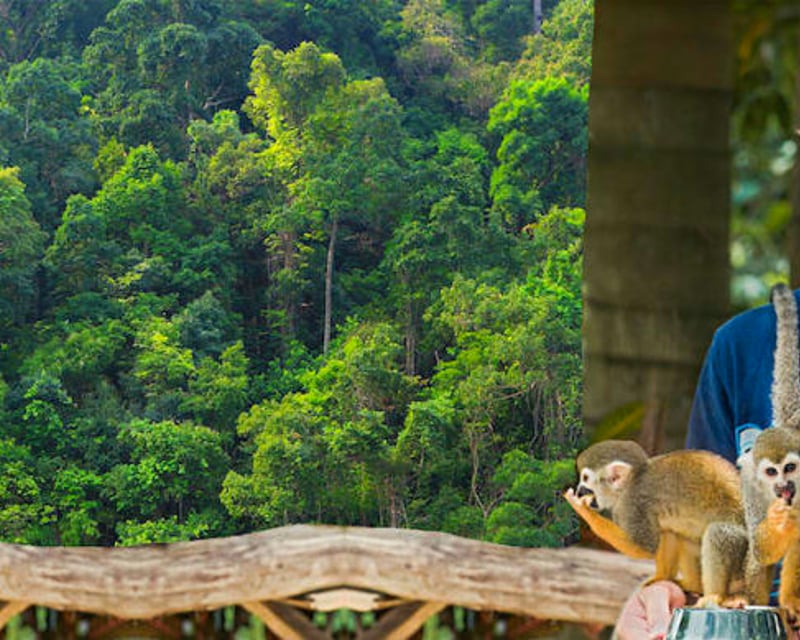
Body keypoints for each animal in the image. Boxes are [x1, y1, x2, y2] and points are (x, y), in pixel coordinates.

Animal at [565, 439, 748, 607]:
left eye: (585, 478)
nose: (579, 491)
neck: (631, 482)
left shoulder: (632, 504)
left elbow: (645, 548)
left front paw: (584, 511)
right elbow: (664, 533)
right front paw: (662, 577)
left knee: (717, 533)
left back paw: (715, 596)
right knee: (676, 532)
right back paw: (692, 584)